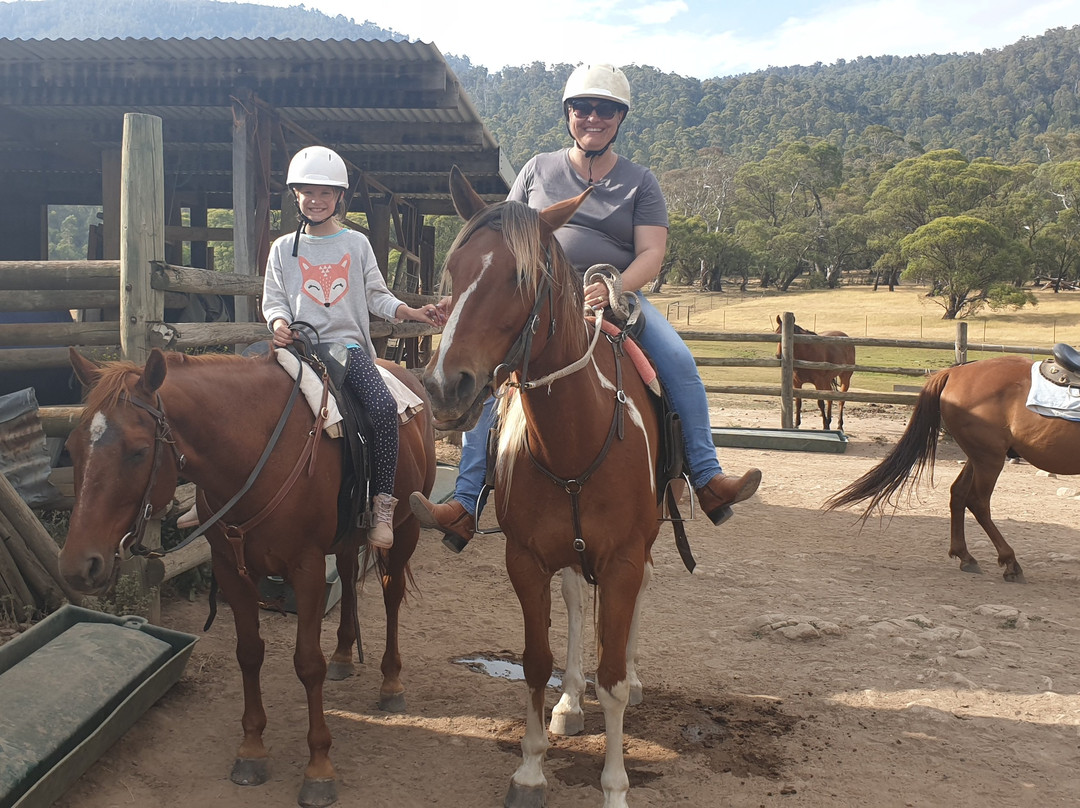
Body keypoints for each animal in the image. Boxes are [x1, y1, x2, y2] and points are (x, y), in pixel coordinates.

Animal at [58, 345, 436, 807]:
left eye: (137, 451)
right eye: (72, 447)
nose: (77, 564)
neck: (256, 455)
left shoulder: (307, 570)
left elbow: (308, 663)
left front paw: (319, 766)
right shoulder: (231, 571)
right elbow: (249, 653)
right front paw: (252, 749)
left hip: (405, 529)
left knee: (391, 594)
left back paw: (391, 682)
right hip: (346, 539)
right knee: (348, 577)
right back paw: (345, 654)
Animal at [418, 167, 664, 808]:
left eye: (520, 277)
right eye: (454, 273)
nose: (445, 386)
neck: (572, 440)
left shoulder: (623, 558)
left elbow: (612, 680)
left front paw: (615, 787)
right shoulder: (526, 560)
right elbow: (534, 661)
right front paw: (530, 770)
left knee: (636, 608)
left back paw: (632, 677)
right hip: (570, 554)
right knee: (576, 602)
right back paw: (570, 703)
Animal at [824, 353, 1080, 582]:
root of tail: (955, 372)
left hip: (978, 457)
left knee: (958, 494)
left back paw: (965, 556)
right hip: (989, 458)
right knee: (977, 502)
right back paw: (1010, 563)